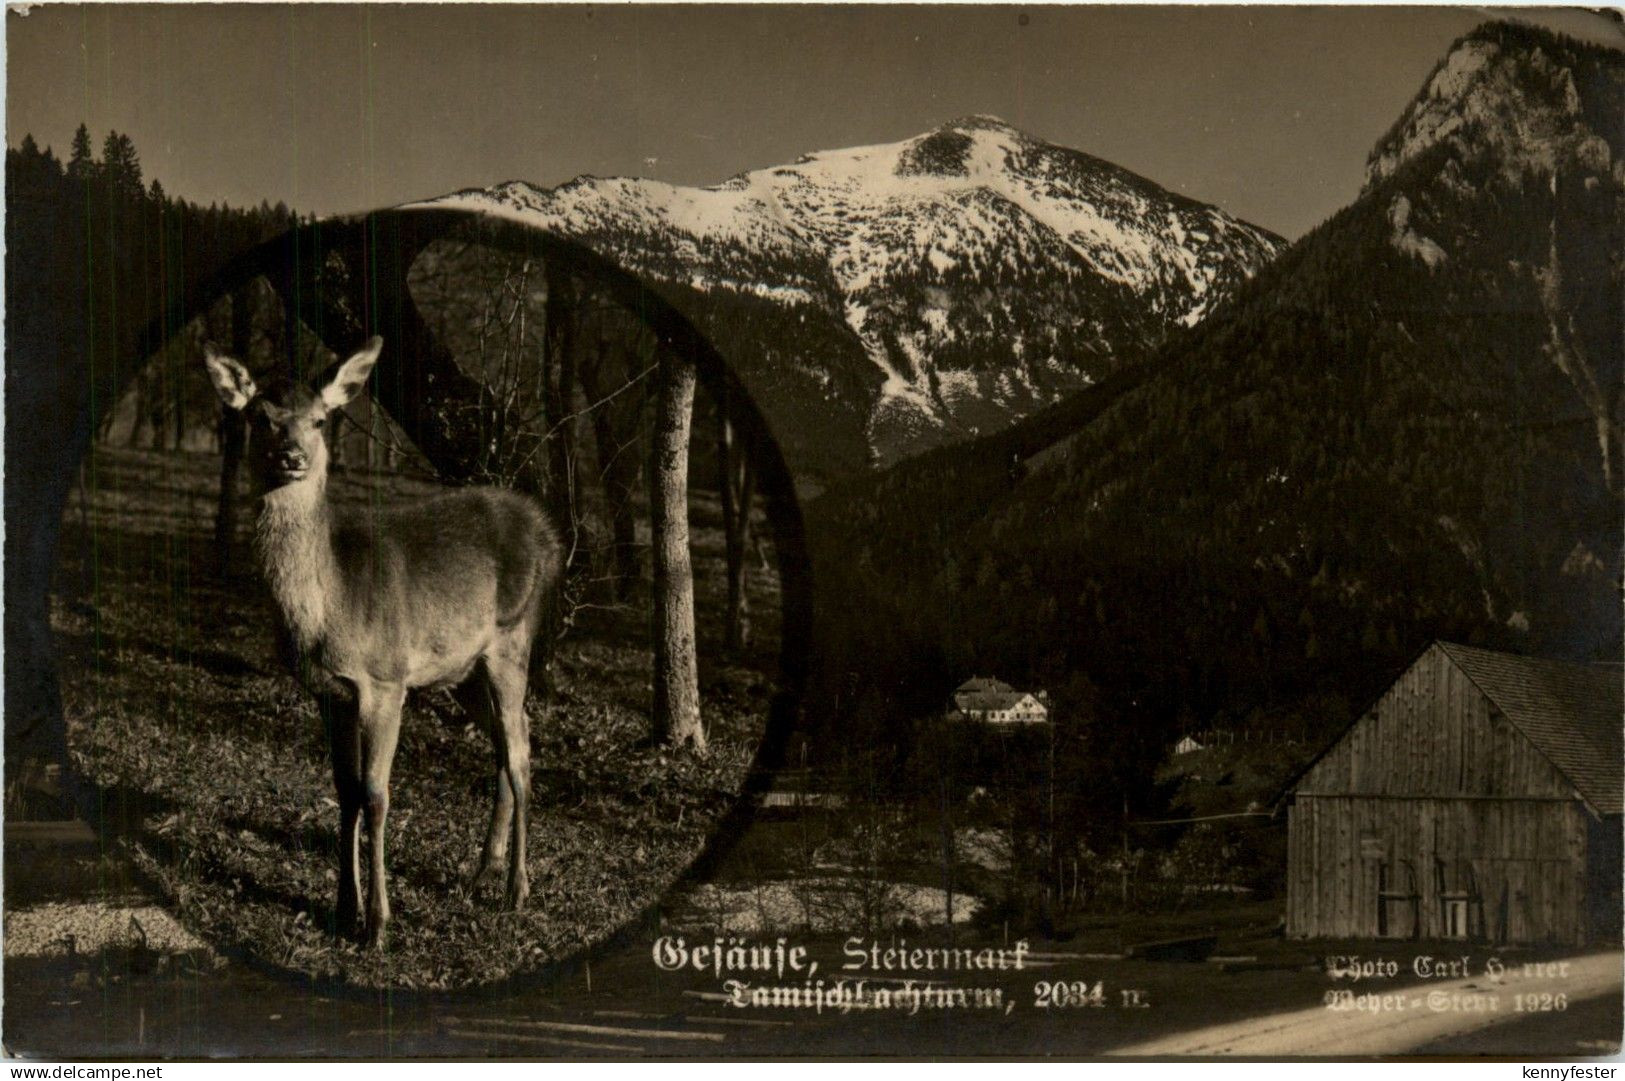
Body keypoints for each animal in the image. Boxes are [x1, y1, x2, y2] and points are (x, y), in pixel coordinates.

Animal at [203, 338, 565, 942]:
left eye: (320, 420)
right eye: (260, 417)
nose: (293, 456)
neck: (330, 608)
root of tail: (550, 534)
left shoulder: (385, 679)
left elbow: (375, 795)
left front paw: (377, 923)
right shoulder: (329, 692)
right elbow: (345, 791)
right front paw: (342, 908)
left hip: (513, 638)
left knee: (520, 752)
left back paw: (517, 889)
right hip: (461, 668)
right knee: (510, 738)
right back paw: (481, 873)